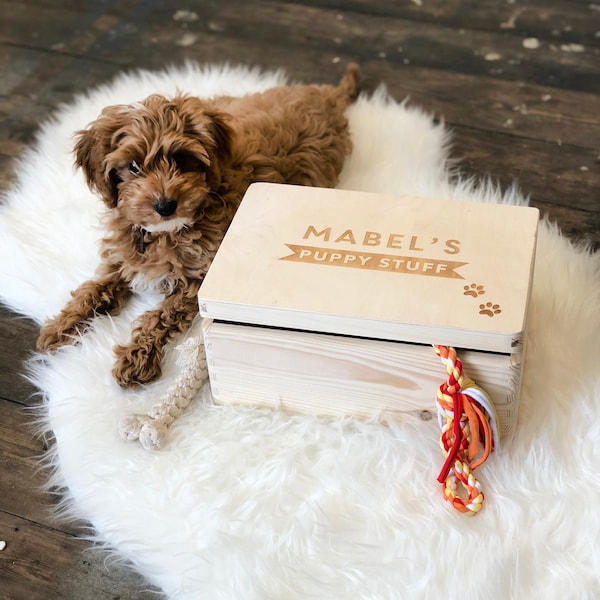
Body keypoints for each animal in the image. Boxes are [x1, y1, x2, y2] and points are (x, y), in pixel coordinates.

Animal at [37, 63, 360, 386]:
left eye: (182, 160)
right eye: (134, 167)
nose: (165, 205)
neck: (166, 231)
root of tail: (327, 95)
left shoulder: (198, 278)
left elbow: (160, 317)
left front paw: (136, 357)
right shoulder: (124, 255)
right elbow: (95, 286)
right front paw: (60, 326)